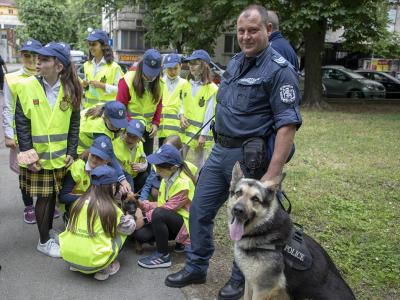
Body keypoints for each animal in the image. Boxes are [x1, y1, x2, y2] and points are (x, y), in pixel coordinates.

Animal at [227, 164, 354, 300]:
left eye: (255, 199)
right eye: (238, 193)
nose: (238, 210)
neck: (264, 229)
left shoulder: (262, 290)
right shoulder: (250, 281)